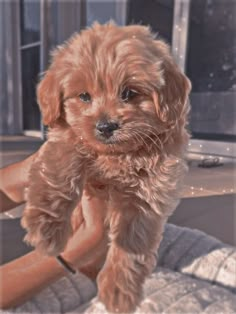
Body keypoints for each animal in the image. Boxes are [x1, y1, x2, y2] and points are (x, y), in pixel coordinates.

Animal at [21, 22, 192, 312]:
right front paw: (46, 229)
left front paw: (118, 291)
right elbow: (60, 168)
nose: (105, 126)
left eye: (129, 93)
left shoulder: (151, 191)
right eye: (84, 96)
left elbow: (132, 240)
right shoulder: (64, 139)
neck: (117, 156)